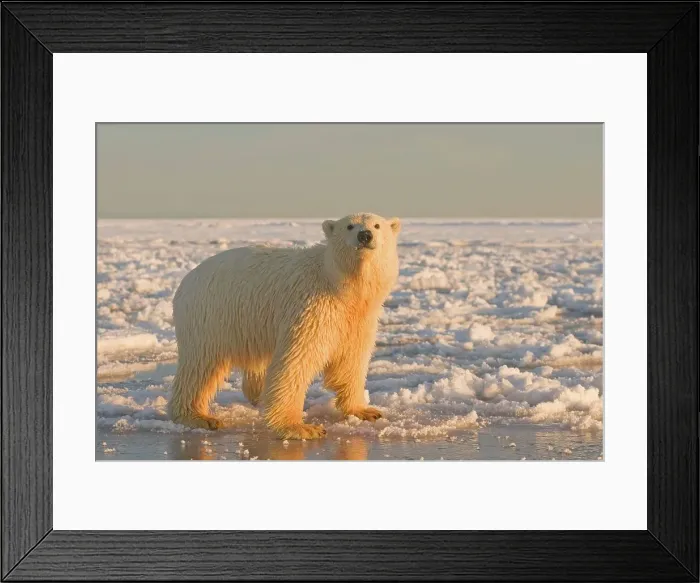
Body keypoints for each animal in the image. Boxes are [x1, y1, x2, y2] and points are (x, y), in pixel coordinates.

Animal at [168, 212, 401, 440]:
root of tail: (186, 281)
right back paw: (199, 417)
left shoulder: (358, 318)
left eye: (377, 225)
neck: (341, 286)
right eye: (350, 226)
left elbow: (351, 360)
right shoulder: (313, 307)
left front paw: (367, 411)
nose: (365, 235)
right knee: (202, 366)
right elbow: (297, 359)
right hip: (210, 315)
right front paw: (300, 427)